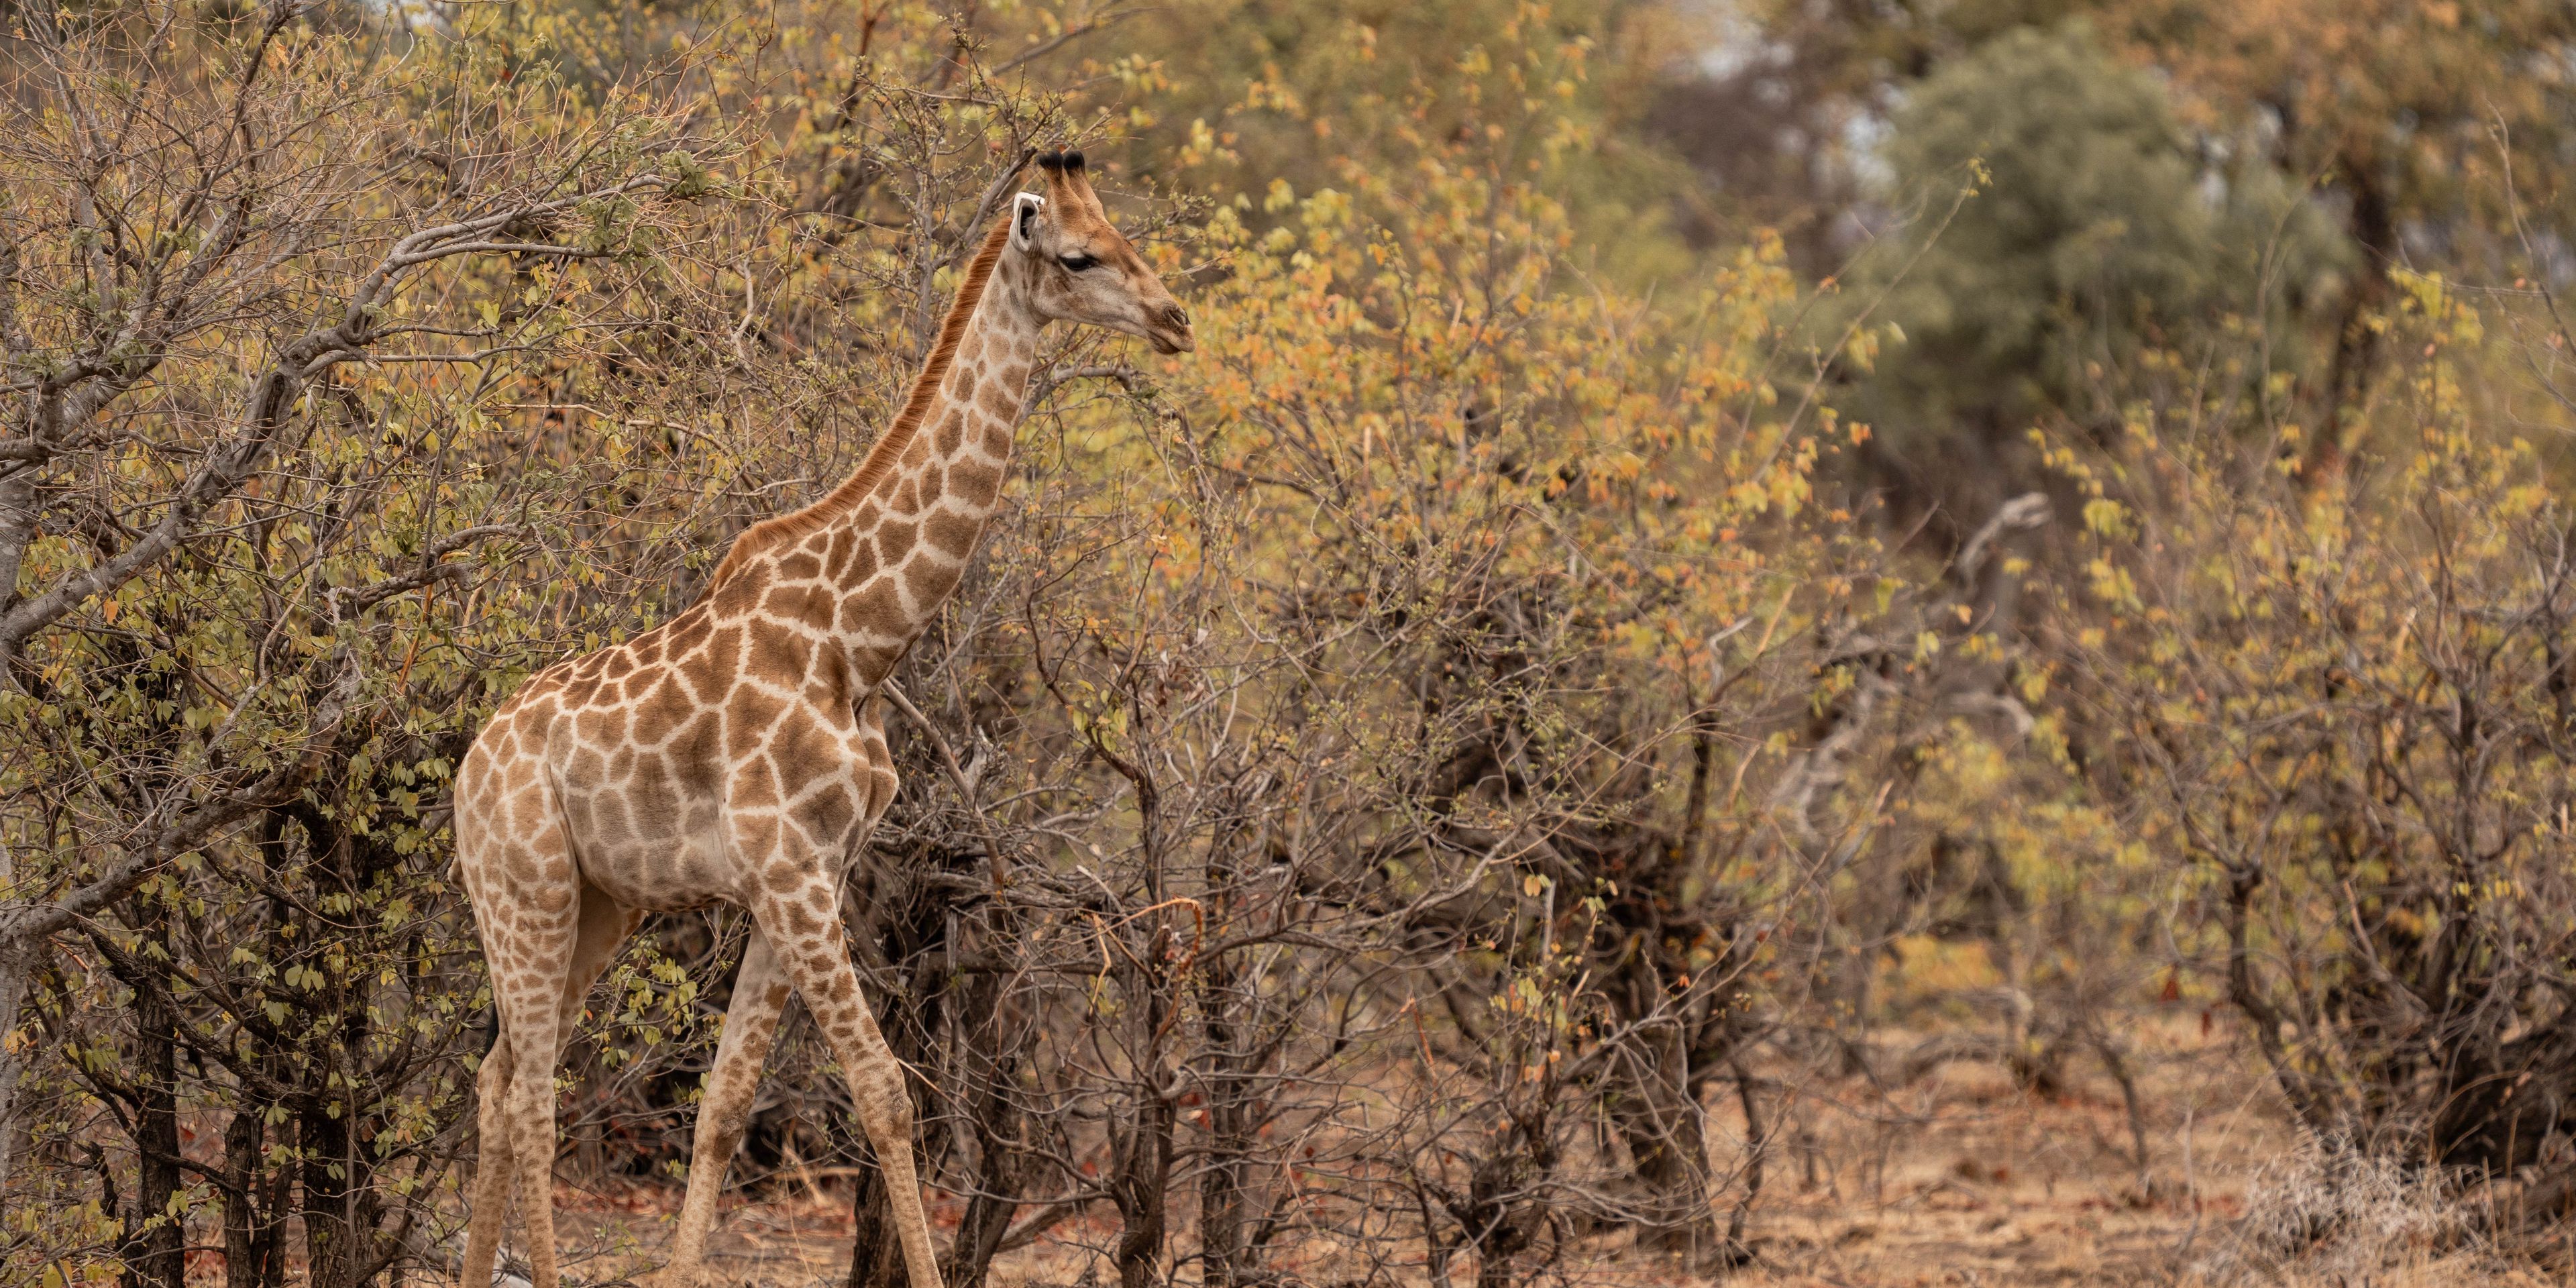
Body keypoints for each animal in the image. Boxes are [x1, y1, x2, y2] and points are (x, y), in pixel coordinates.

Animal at [450, 150, 1192, 1288]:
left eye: (1126, 237)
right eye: (1079, 257)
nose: (1174, 319)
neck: (862, 636)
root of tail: (465, 772)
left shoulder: (801, 878)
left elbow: (722, 1104)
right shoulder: (791, 872)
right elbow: (886, 1091)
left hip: (596, 906)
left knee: (496, 1080)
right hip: (523, 886)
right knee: (532, 1093)